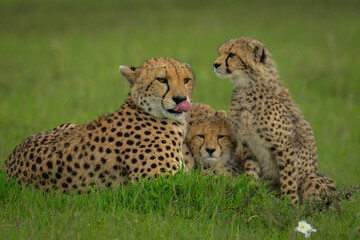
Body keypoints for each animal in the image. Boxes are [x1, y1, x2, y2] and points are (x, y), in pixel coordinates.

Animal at [214, 36, 334, 203]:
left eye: (231, 54)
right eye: (220, 53)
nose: (215, 64)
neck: (247, 86)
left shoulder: (284, 145)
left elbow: (288, 176)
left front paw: (290, 203)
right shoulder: (248, 142)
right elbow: (251, 168)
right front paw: (251, 190)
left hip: (312, 178)